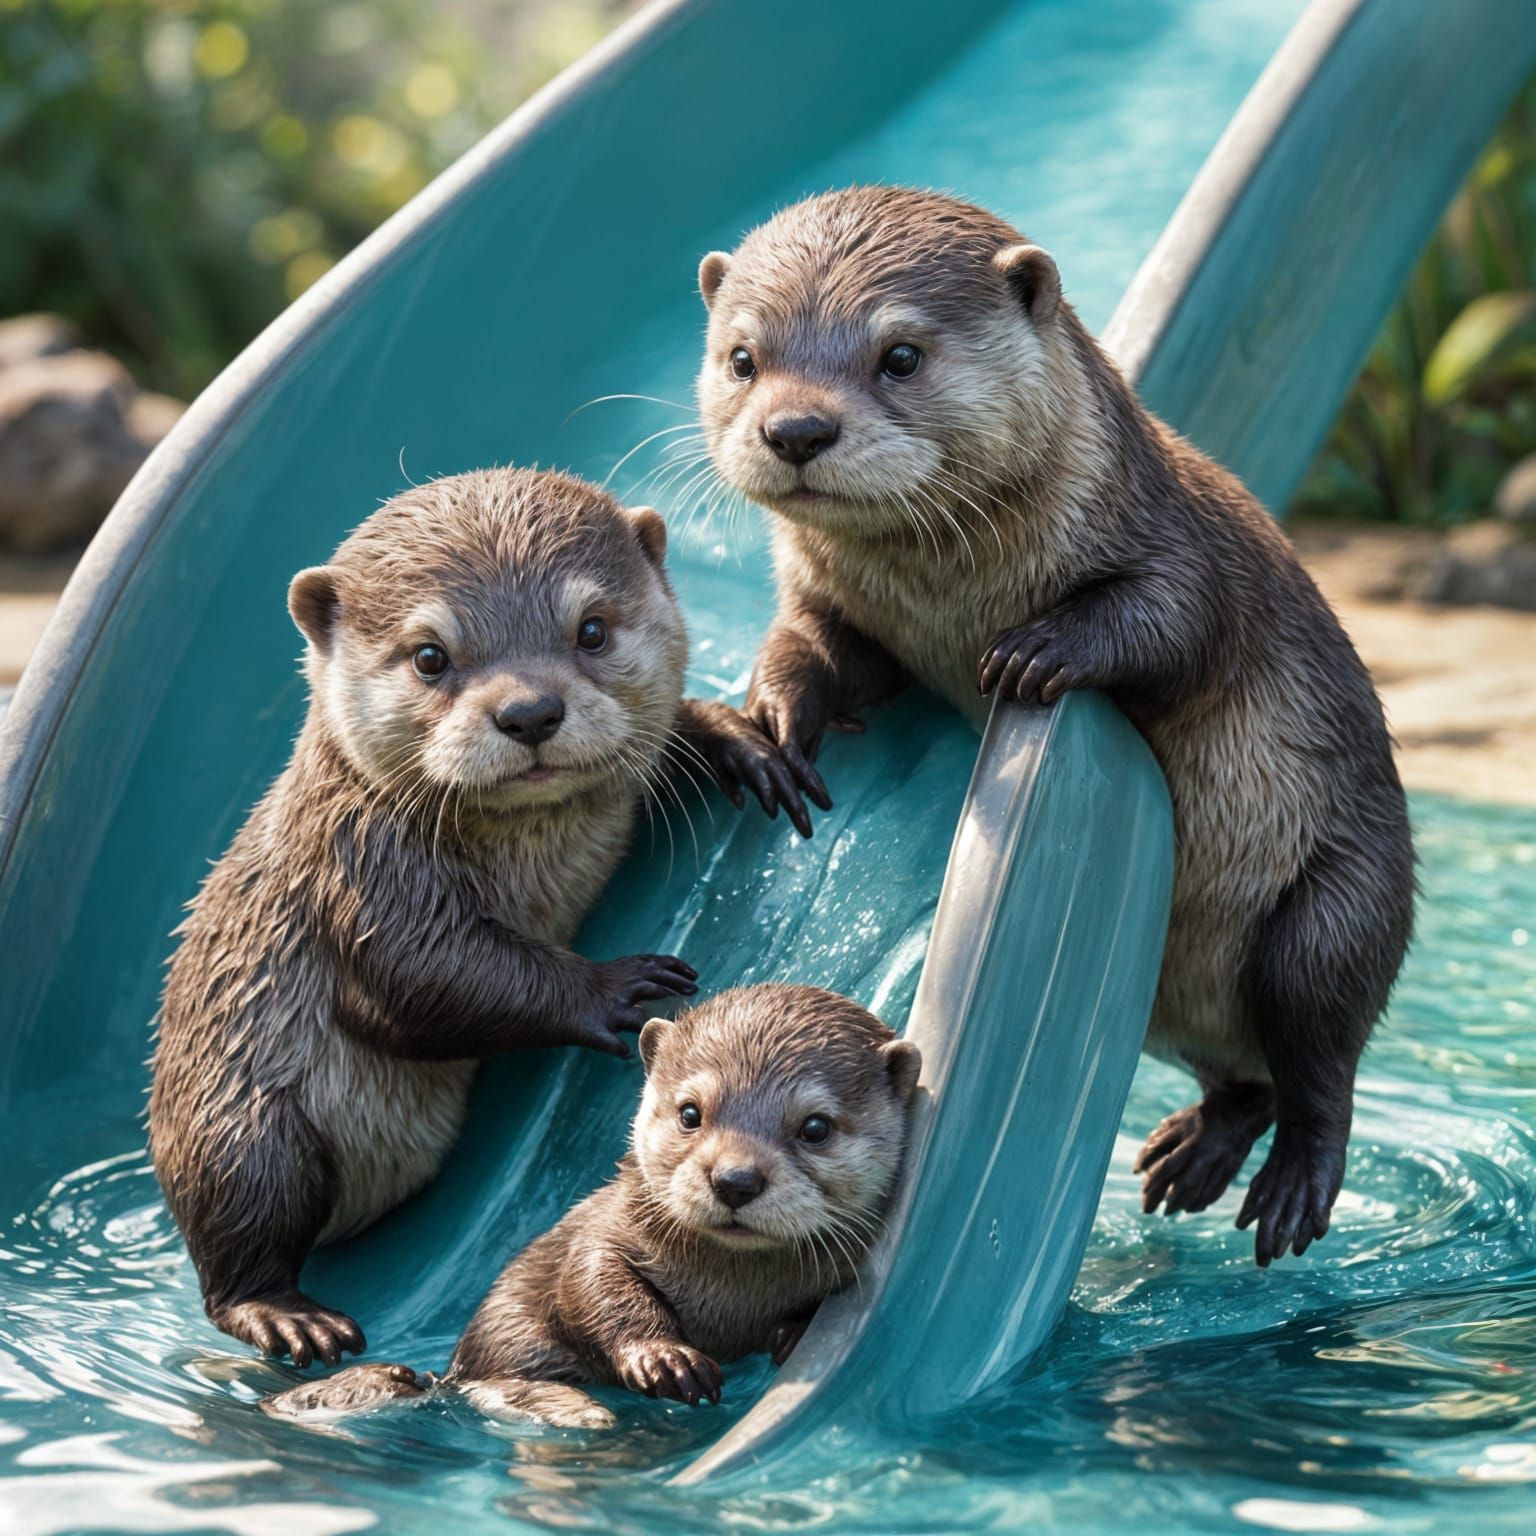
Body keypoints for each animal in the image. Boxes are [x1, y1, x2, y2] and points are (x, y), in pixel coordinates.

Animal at [151, 467, 793, 1368]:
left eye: (592, 629)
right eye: (431, 656)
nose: (530, 712)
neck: (539, 859)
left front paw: (744, 740)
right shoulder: (363, 871)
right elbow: (430, 979)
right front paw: (617, 988)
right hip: (240, 1126)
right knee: (237, 1242)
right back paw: (288, 1316)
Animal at [261, 983, 920, 1427]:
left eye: (815, 1127)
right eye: (690, 1112)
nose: (734, 1179)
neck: (732, 1295)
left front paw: (793, 1333)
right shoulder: (604, 1229)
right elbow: (594, 1283)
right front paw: (665, 1360)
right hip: (506, 1333)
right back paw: (575, 1409)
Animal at [693, 186, 1415, 1267]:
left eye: (899, 355)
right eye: (742, 358)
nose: (795, 428)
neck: (951, 593)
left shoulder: (1172, 540)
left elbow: (1176, 619)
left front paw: (1039, 651)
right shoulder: (841, 602)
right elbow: (815, 644)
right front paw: (770, 720)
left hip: (1340, 905)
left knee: (1322, 1053)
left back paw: (1294, 1184)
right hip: (1173, 1005)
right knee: (1246, 1077)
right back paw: (1192, 1156)